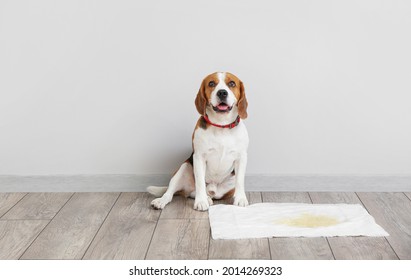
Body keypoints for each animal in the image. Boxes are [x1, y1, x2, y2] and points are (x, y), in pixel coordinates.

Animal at [149, 71, 249, 211]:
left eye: (232, 83)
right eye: (211, 83)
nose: (222, 93)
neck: (221, 125)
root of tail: (212, 191)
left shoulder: (241, 158)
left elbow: (240, 181)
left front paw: (240, 199)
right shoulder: (199, 157)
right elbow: (200, 182)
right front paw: (201, 201)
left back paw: (209, 197)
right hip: (184, 167)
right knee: (172, 192)